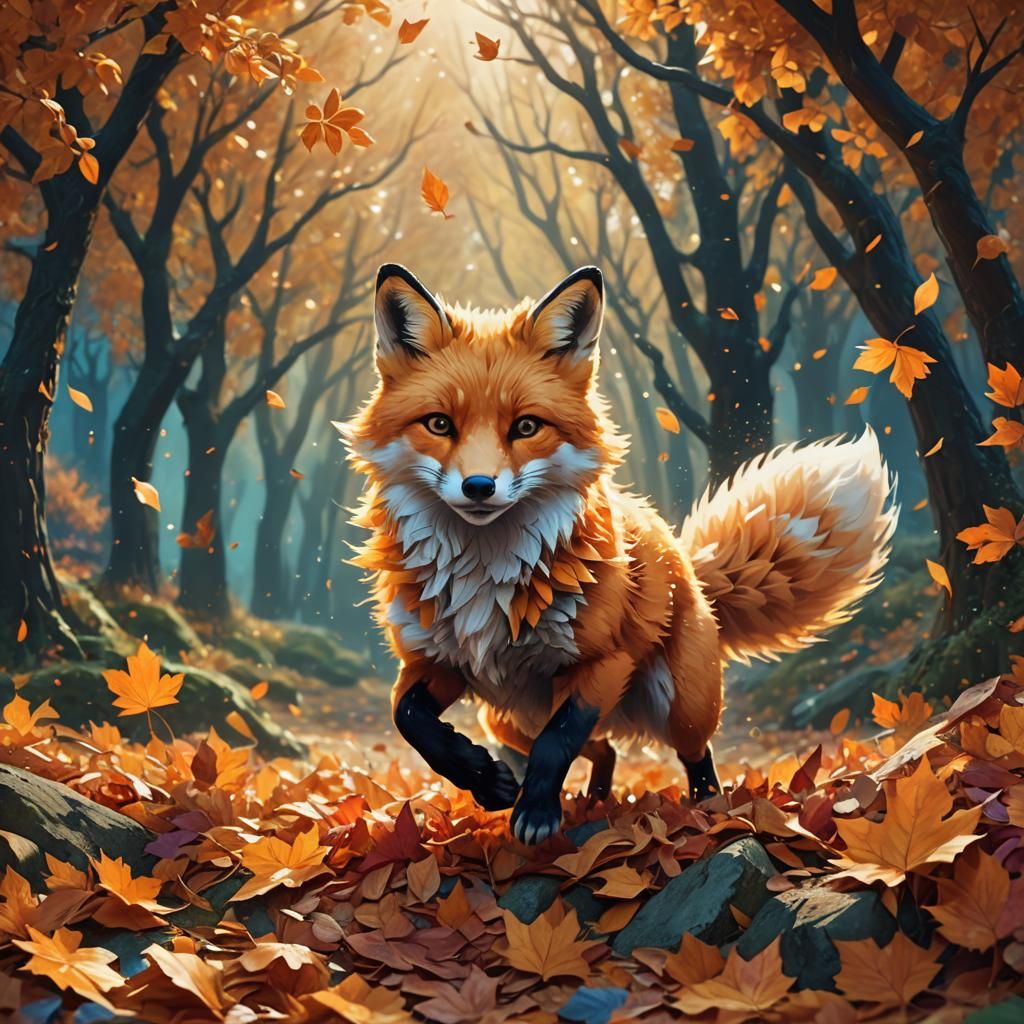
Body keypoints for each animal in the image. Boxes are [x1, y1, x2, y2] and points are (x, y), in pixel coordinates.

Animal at [338, 263, 897, 845]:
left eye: (526, 426)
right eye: (440, 424)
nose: (479, 487)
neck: (484, 574)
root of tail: (686, 566)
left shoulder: (603, 663)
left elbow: (557, 741)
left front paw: (535, 813)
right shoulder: (437, 660)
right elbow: (410, 719)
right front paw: (488, 781)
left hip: (680, 703)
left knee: (691, 751)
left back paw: (706, 807)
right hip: (510, 719)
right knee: (602, 749)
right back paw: (593, 799)